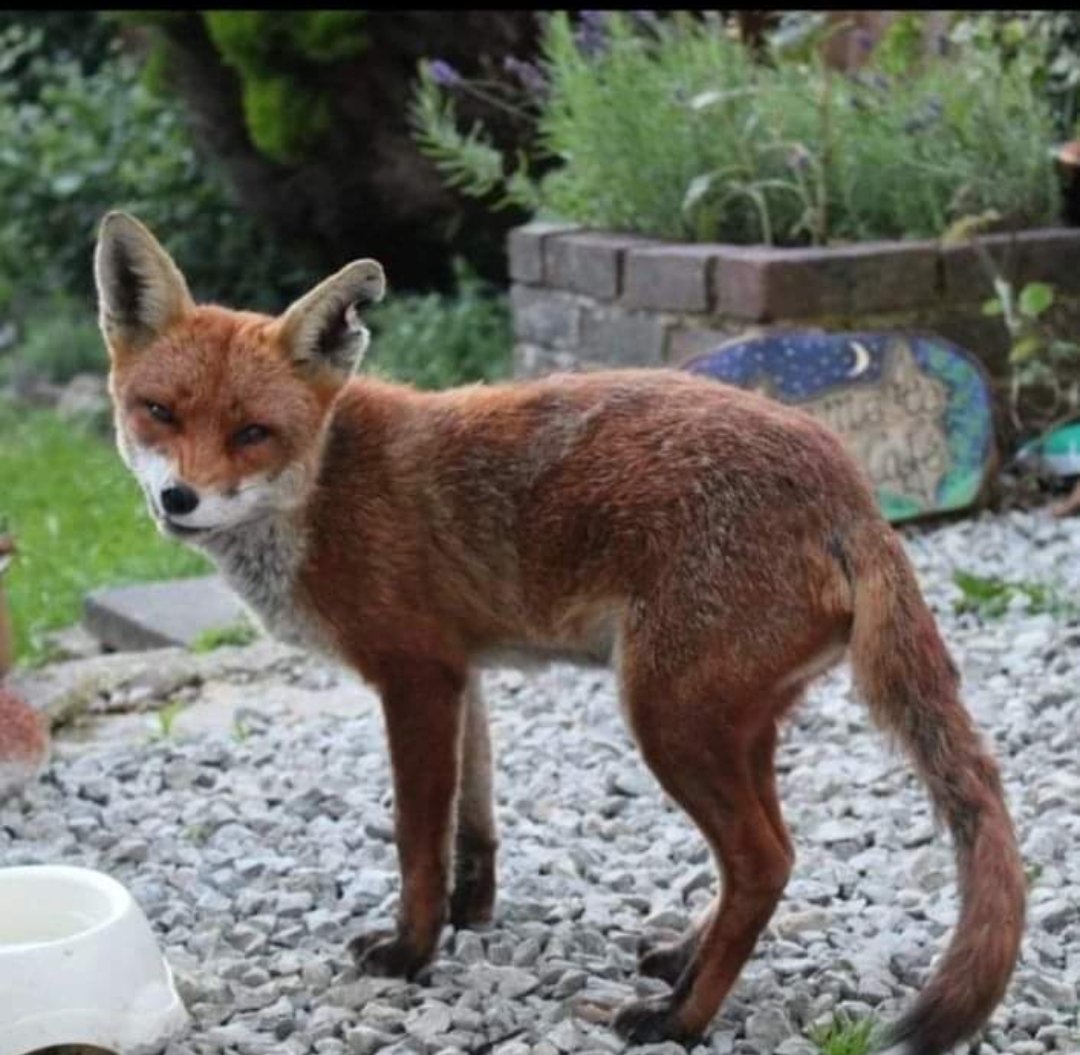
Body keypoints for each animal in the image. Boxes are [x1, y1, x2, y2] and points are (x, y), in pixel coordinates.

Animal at [92, 209, 1019, 1049]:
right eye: (158, 411)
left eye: (253, 432)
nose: (179, 500)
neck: (322, 488)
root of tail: (850, 487)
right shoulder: (460, 672)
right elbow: (473, 823)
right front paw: (469, 916)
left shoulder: (415, 676)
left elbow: (417, 838)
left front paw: (412, 949)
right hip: (735, 724)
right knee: (770, 857)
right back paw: (685, 962)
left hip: (667, 718)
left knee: (763, 860)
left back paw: (681, 1018)